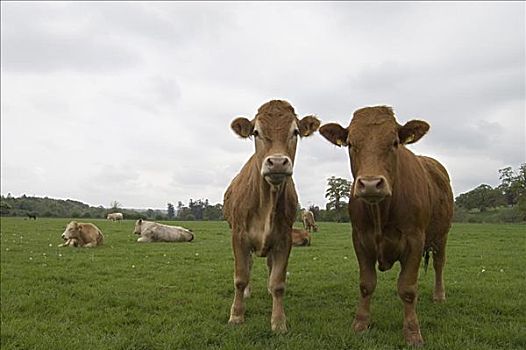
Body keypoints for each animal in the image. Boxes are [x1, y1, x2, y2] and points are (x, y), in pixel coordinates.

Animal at [224, 100, 322, 332]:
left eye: (295, 131)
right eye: (256, 132)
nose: (277, 162)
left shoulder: (284, 238)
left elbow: (278, 283)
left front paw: (278, 322)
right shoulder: (238, 236)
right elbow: (240, 277)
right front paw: (236, 315)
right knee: (249, 265)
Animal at [320, 106, 456, 348]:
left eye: (394, 142)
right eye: (350, 144)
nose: (370, 184)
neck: (380, 213)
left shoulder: (415, 240)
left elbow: (408, 289)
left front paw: (412, 332)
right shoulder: (360, 239)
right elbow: (366, 284)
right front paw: (360, 324)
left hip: (442, 234)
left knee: (439, 263)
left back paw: (439, 295)